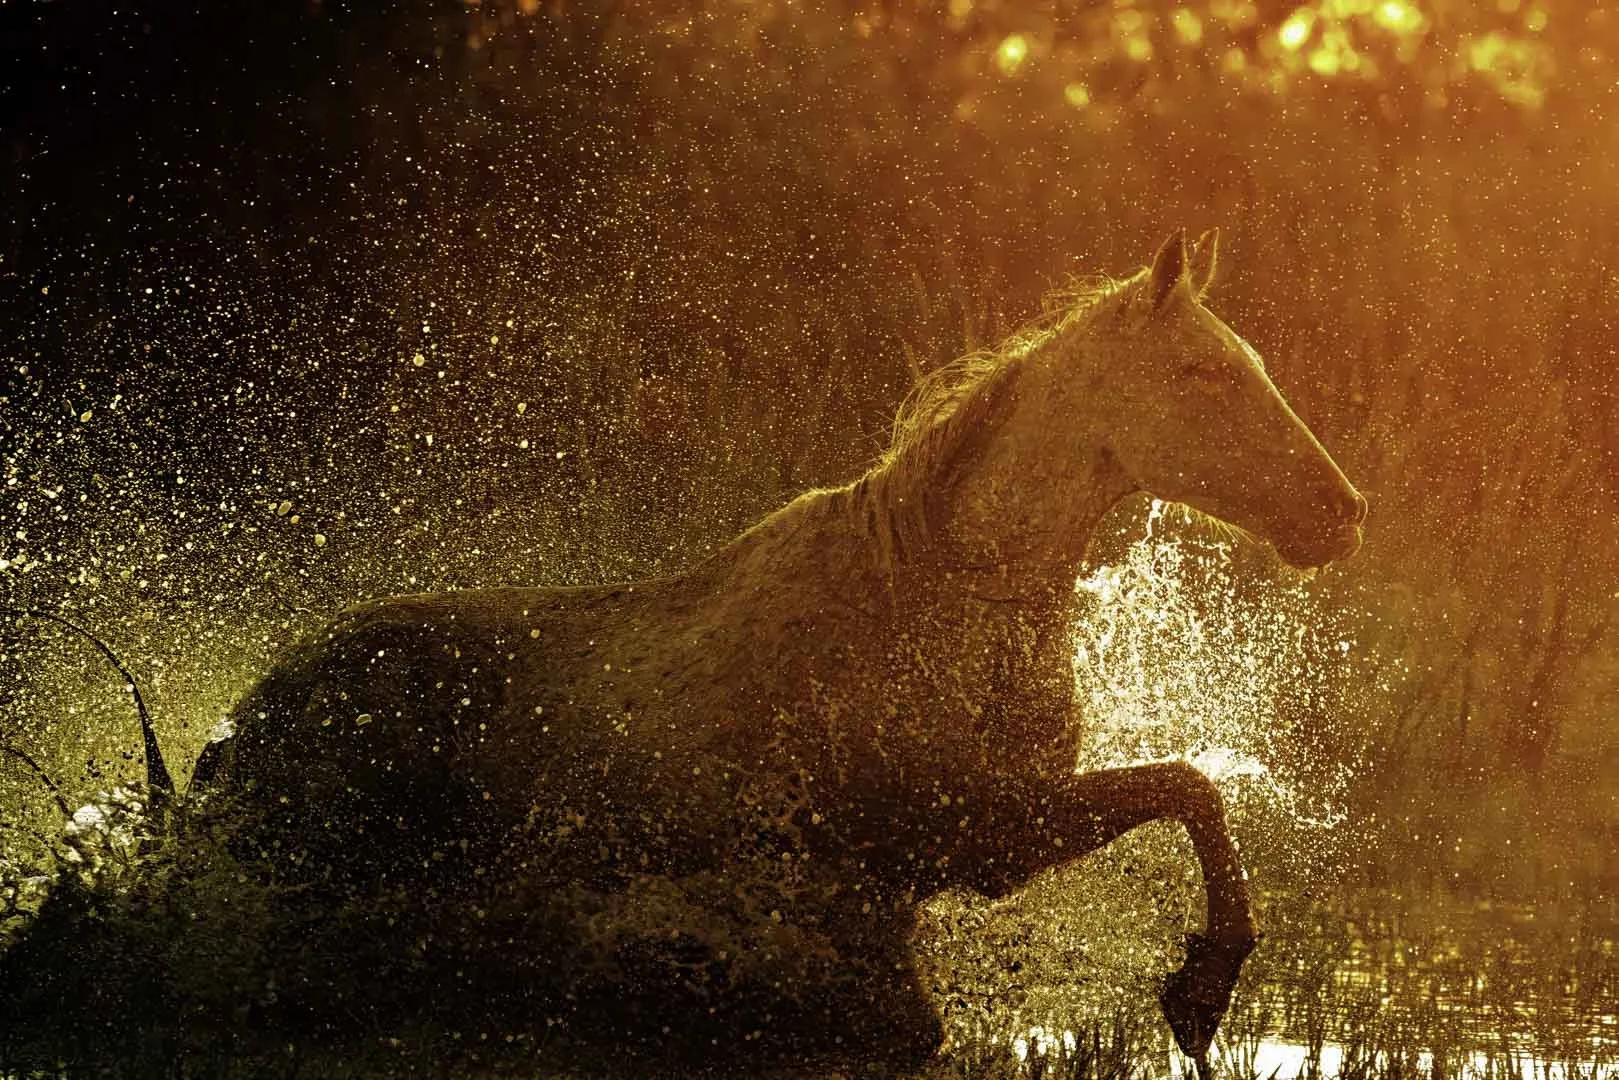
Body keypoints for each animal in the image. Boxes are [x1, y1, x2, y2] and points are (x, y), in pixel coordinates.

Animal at [185, 230, 1365, 1069]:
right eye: (1202, 372)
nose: (1340, 513)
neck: (942, 591)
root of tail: (249, 717)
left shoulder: (986, 838)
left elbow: (1190, 791)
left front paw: (1201, 989)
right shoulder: (945, 830)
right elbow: (1190, 788)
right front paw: (1202, 989)